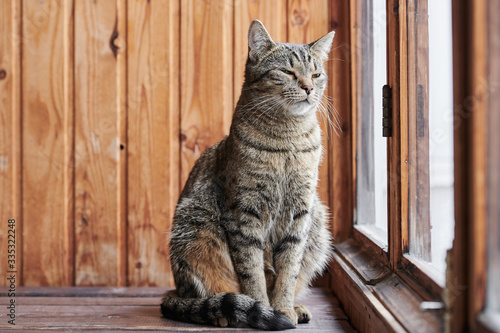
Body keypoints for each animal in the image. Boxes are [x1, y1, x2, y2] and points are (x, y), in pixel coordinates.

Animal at [162, 19, 334, 328]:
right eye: (287, 72)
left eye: (317, 74)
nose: (308, 87)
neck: (287, 139)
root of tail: (175, 292)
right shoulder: (244, 213)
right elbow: (252, 271)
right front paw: (266, 309)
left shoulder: (300, 213)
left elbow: (288, 269)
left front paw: (284, 307)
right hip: (194, 227)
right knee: (208, 292)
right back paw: (226, 313)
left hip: (318, 223)